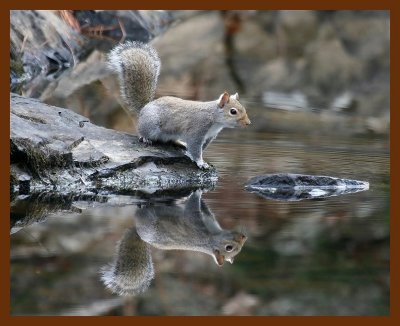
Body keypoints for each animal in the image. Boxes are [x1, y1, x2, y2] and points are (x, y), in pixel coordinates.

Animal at [106, 40, 250, 168]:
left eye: (243, 108)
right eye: (233, 111)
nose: (248, 123)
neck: (214, 118)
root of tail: (144, 108)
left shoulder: (209, 137)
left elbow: (200, 148)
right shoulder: (196, 130)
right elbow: (195, 147)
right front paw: (200, 162)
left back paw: (180, 143)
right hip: (151, 123)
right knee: (142, 131)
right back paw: (145, 138)